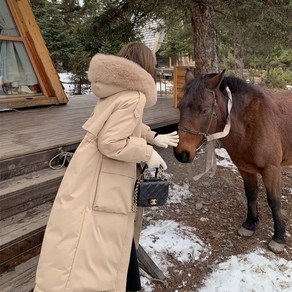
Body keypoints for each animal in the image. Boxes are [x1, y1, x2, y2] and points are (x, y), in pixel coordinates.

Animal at [175, 70, 290, 253]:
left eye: (204, 110)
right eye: (180, 106)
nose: (182, 154)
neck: (250, 123)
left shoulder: (272, 170)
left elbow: (274, 201)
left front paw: (278, 237)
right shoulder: (245, 169)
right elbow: (251, 194)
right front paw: (249, 224)